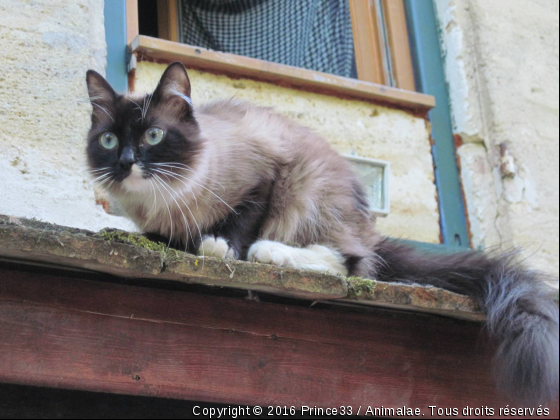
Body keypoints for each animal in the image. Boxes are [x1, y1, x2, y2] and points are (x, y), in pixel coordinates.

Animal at [85, 61, 556, 404]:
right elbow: (164, 238)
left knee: (348, 262)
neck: (162, 200)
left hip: (306, 190)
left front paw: (218, 247)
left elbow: (239, 222)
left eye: (153, 135)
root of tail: (367, 227)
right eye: (108, 141)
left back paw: (267, 252)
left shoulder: (265, 178)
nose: (126, 163)